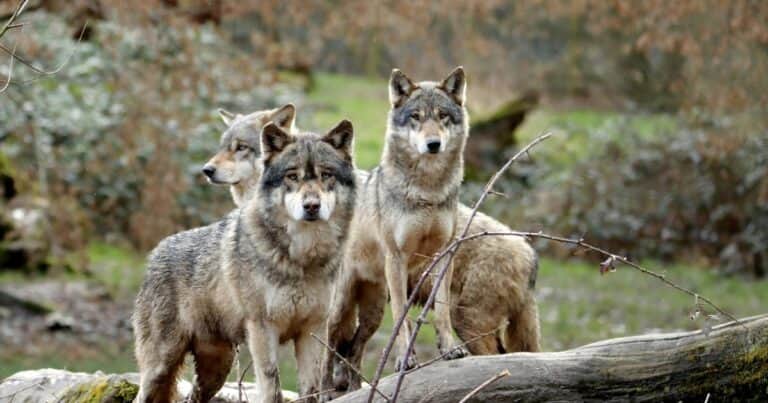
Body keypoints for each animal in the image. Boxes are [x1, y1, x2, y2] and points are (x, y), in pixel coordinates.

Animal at [133, 121, 357, 403]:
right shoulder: (263, 329)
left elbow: (311, 391)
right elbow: (272, 387)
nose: (312, 206)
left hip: (216, 369)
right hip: (160, 368)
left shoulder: (313, 330)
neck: (301, 259)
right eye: (292, 176)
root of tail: (155, 253)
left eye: (326, 174)